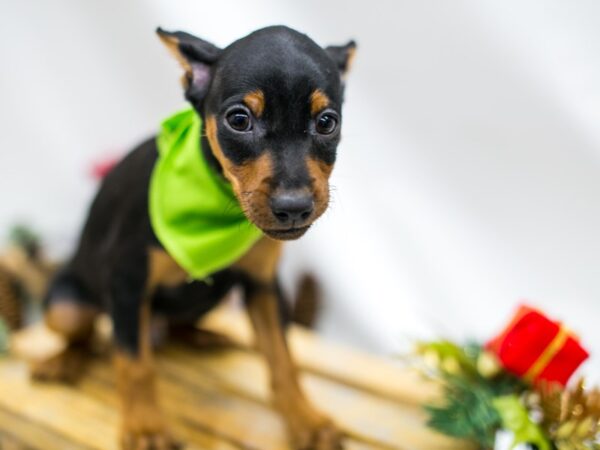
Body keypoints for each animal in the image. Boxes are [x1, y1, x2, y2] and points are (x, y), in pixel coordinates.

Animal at [32, 25, 356, 450]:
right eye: (239, 120)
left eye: (327, 122)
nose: (294, 208)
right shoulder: (127, 283)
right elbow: (134, 363)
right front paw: (146, 428)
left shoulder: (263, 285)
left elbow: (283, 359)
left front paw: (306, 419)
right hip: (67, 308)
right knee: (85, 334)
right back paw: (63, 361)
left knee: (175, 325)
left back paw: (203, 336)